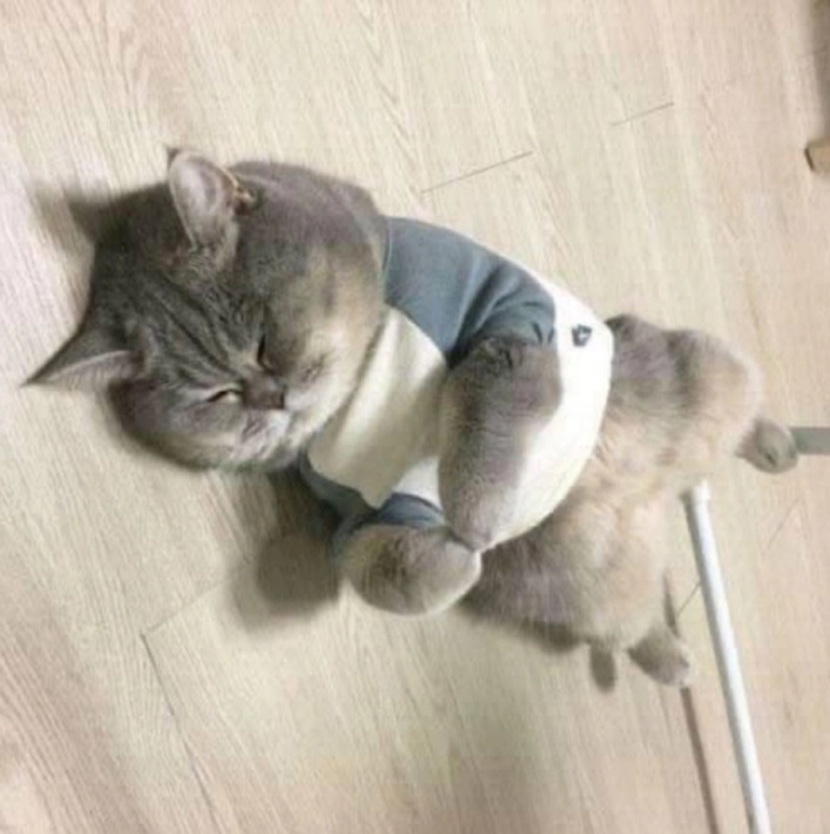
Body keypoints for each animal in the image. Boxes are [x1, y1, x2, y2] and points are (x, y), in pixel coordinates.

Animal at [33, 151, 798, 687]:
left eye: (264, 337)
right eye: (212, 396)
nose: (269, 399)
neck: (363, 381)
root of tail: (654, 500)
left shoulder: (509, 329)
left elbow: (481, 417)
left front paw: (479, 517)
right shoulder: (367, 506)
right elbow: (375, 568)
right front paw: (459, 560)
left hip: (709, 376)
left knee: (739, 416)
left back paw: (775, 443)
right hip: (592, 589)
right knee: (631, 626)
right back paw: (674, 661)